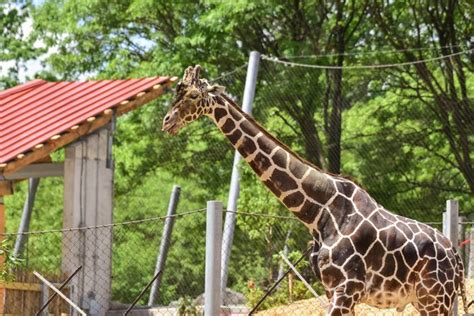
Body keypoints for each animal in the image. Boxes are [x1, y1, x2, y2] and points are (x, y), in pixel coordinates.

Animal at [163, 65, 470, 314]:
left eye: (193, 95)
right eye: (176, 93)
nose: (167, 121)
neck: (318, 212)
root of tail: (456, 256)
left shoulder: (347, 289)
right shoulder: (332, 290)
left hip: (434, 297)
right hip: (427, 299)